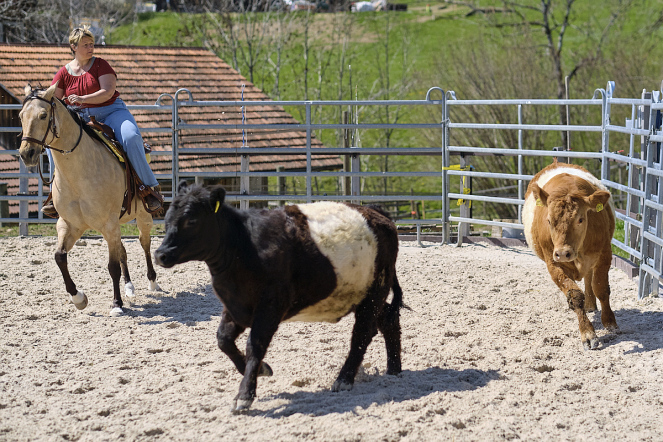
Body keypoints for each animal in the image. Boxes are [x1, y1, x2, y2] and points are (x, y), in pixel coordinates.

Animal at [19, 83, 160, 316]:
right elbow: (59, 256)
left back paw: (152, 282)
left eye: (43, 115)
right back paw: (129, 287)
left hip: (142, 216)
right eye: (21, 115)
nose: (26, 153)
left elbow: (112, 267)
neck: (78, 174)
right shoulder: (69, 224)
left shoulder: (108, 224)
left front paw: (116, 304)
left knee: (144, 243)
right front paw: (79, 298)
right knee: (122, 251)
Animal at [154, 181, 404, 412]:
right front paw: (262, 369)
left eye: (191, 220)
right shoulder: (235, 306)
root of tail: (377, 213)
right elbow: (223, 340)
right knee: (387, 322)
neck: (242, 246)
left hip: (375, 291)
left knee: (361, 334)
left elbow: (255, 345)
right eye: (167, 218)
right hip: (366, 294)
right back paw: (394, 369)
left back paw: (344, 379)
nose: (160, 254)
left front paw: (244, 396)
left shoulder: (270, 306)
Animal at [524, 161, 624, 350]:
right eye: (549, 220)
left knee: (589, 278)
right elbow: (575, 296)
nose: (563, 253)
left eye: (580, 219)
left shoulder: (604, 254)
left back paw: (591, 304)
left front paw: (610, 323)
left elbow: (601, 288)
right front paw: (588, 334)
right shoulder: (553, 263)